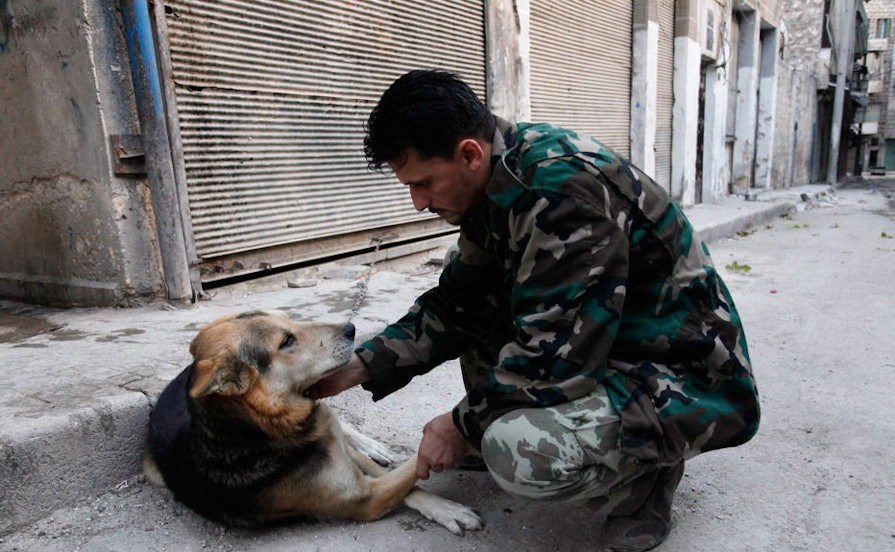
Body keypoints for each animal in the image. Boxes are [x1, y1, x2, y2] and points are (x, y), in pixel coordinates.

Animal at [144, 310, 486, 536]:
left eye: (290, 321)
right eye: (287, 341)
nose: (351, 328)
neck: (267, 427)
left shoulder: (350, 463)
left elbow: (409, 481)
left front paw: (443, 506)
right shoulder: (365, 498)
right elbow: (411, 470)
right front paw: (463, 432)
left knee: (341, 422)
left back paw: (370, 444)